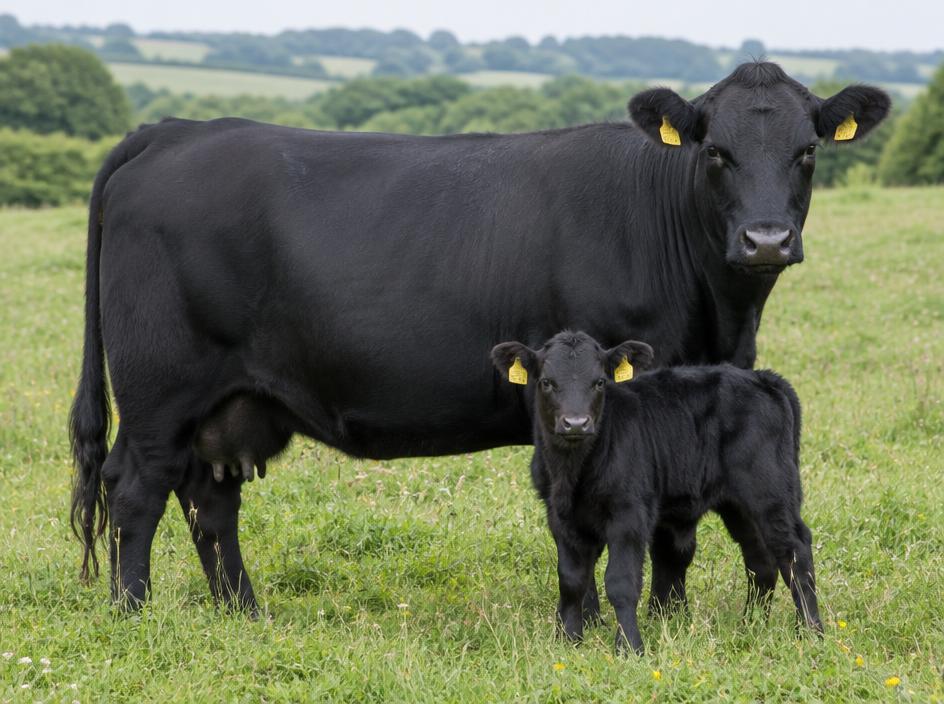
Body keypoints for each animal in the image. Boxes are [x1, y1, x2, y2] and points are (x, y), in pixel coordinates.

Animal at [69, 62, 887, 611]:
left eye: (807, 151)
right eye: (715, 151)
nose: (765, 239)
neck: (721, 314)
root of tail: (172, 130)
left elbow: (678, 532)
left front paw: (668, 618)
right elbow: (656, 532)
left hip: (226, 405)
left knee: (210, 501)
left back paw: (244, 612)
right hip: (159, 393)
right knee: (135, 491)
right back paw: (135, 613)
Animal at [491, 331, 822, 654]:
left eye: (599, 382)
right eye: (547, 382)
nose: (576, 423)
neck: (573, 472)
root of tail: (764, 378)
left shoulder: (629, 513)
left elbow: (621, 582)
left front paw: (629, 647)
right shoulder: (560, 516)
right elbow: (571, 580)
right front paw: (569, 641)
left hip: (771, 491)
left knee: (794, 551)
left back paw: (810, 631)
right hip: (738, 505)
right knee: (760, 558)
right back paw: (751, 624)